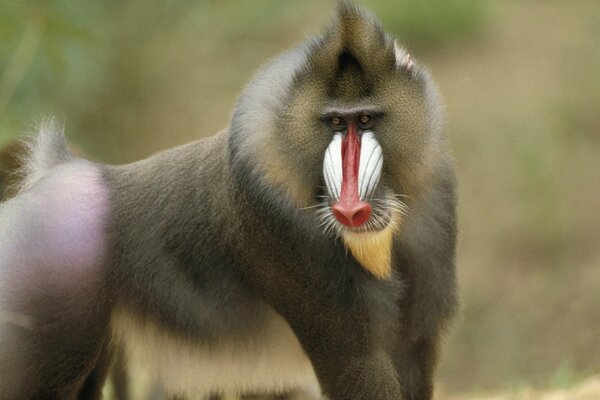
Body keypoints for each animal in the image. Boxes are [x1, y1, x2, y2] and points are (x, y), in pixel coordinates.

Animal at [0, 3, 458, 400]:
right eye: (333, 122)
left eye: (364, 120)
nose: (350, 208)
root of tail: (58, 173)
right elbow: (357, 364)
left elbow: (413, 351)